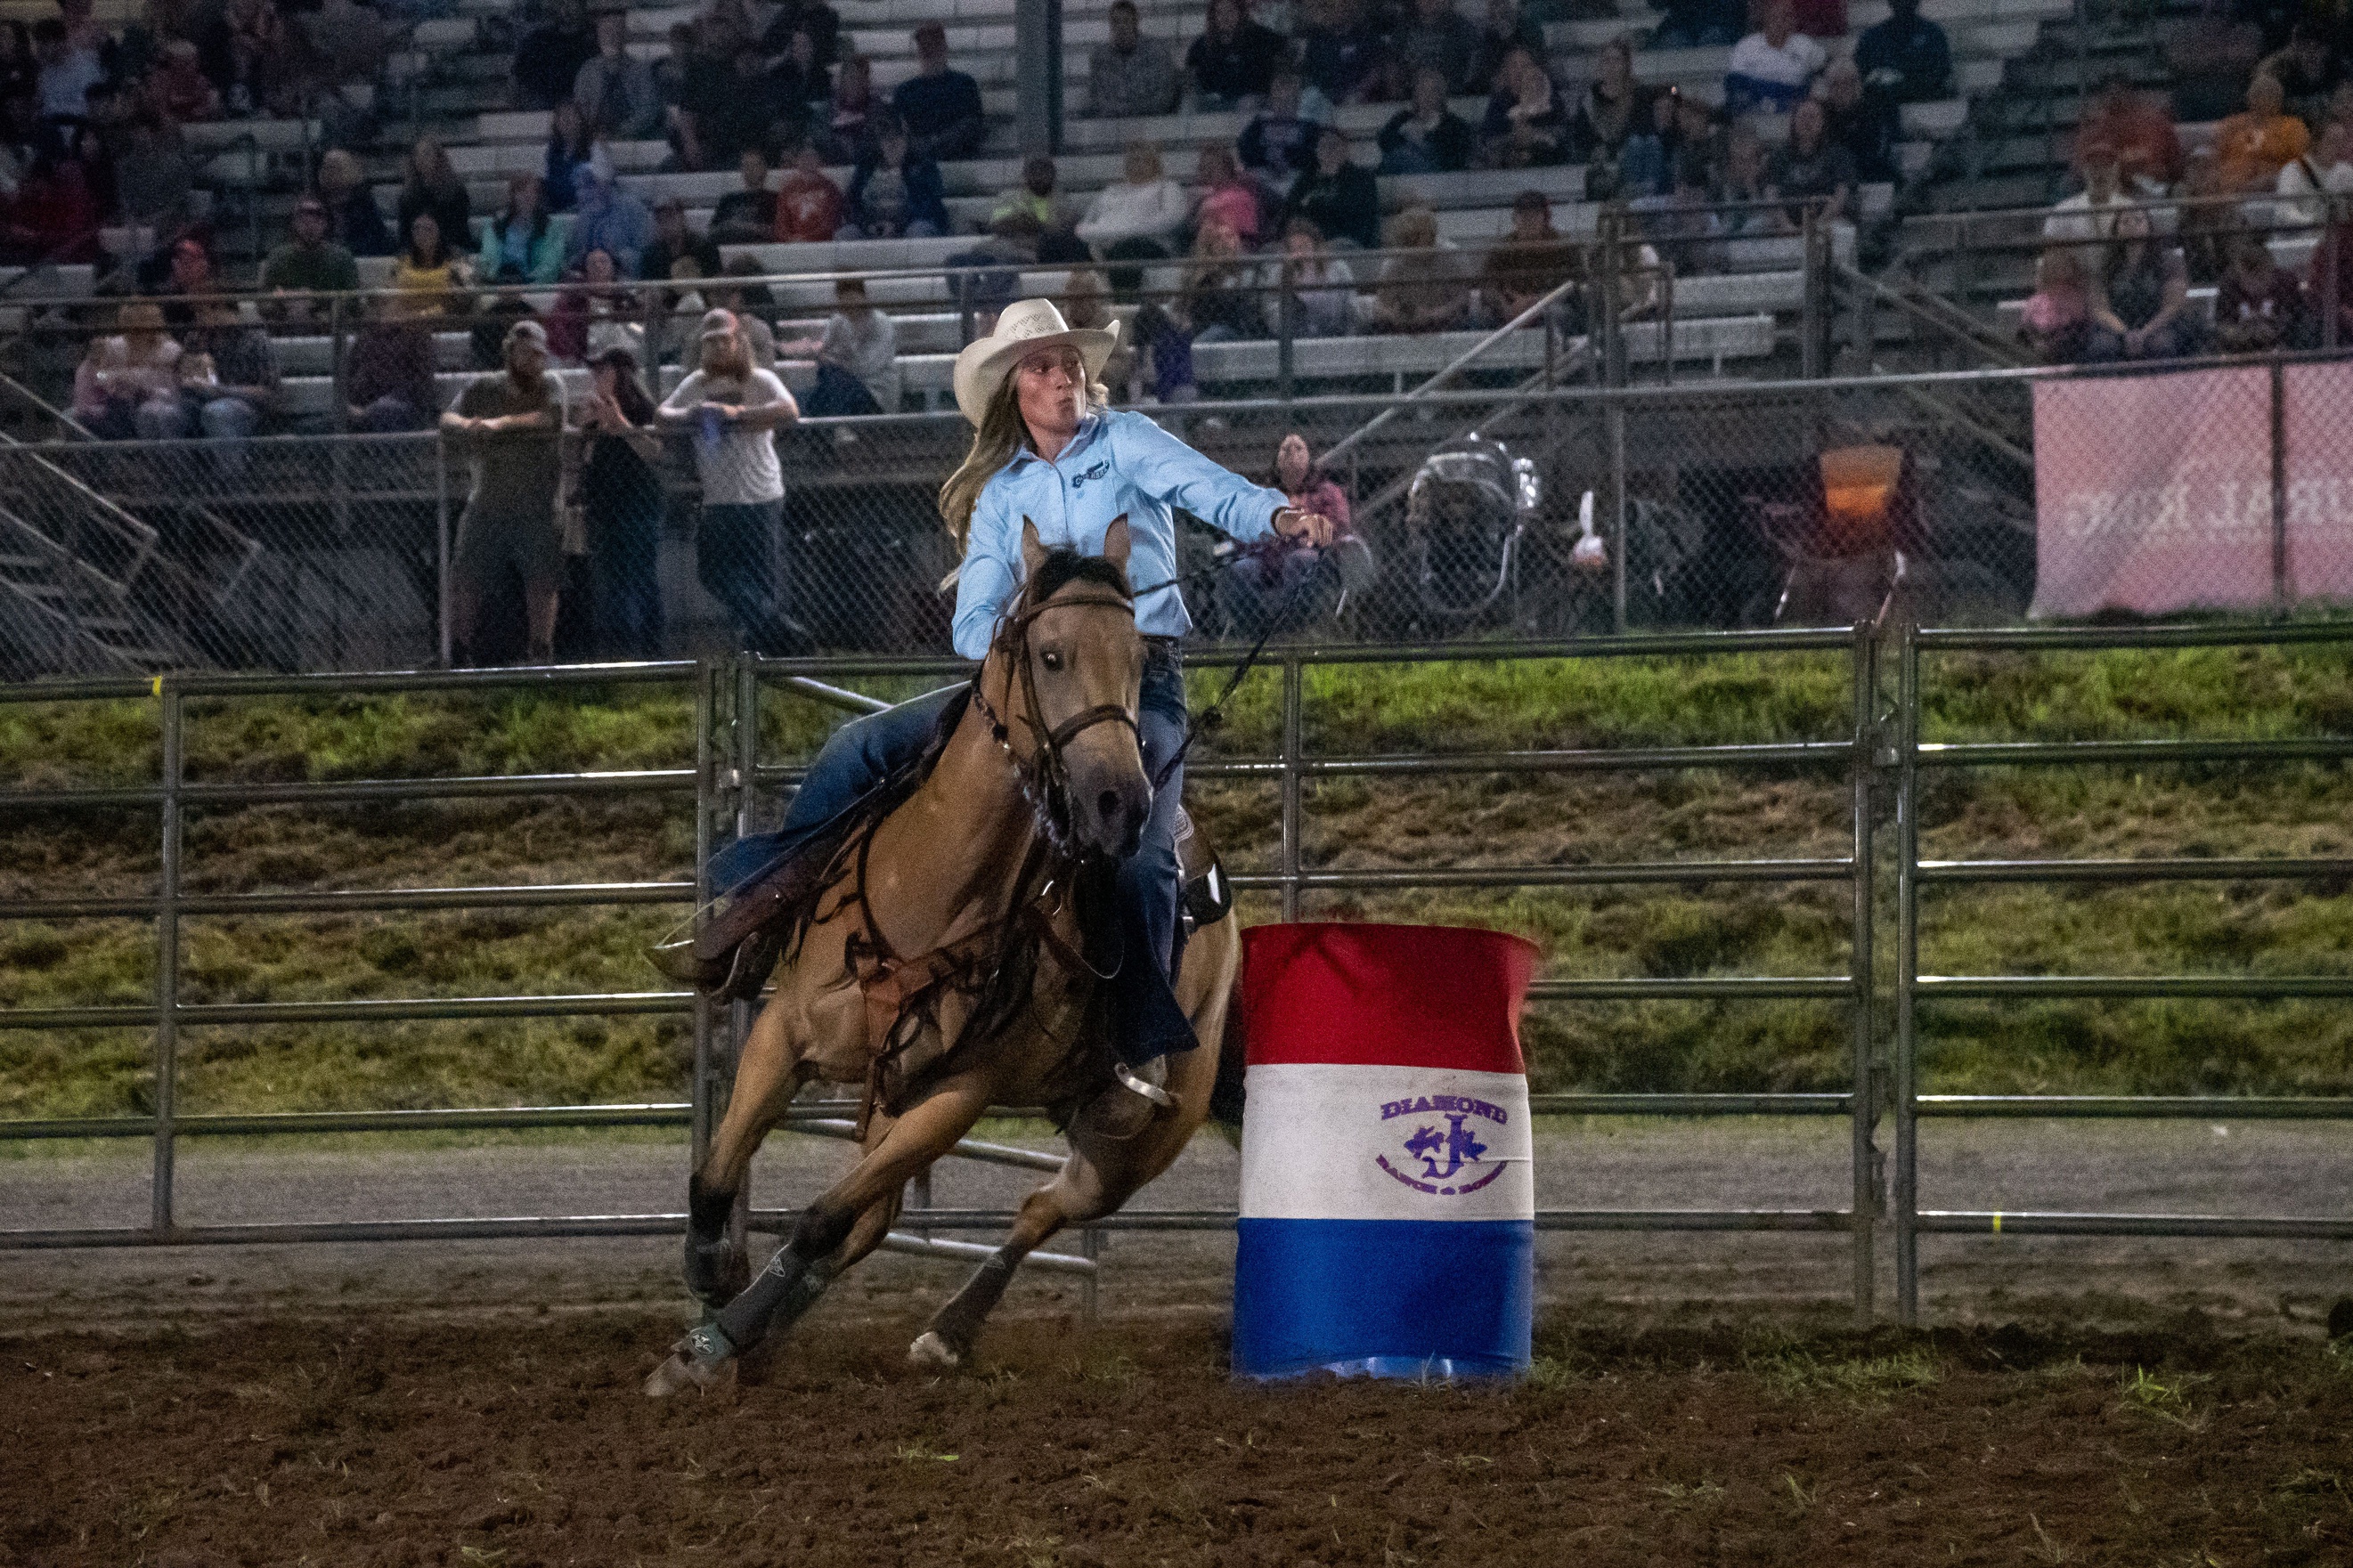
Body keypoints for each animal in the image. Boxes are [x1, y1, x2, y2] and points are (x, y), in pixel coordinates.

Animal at [644, 522, 1233, 1391]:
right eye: (1050, 654)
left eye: (1138, 658)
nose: (1121, 803)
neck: (935, 891)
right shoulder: (785, 1032)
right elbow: (719, 1175)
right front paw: (711, 1280)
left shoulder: (955, 1097)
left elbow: (821, 1221)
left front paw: (717, 1328)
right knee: (885, 1217)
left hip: (1135, 1142)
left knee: (1038, 1208)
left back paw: (942, 1332)